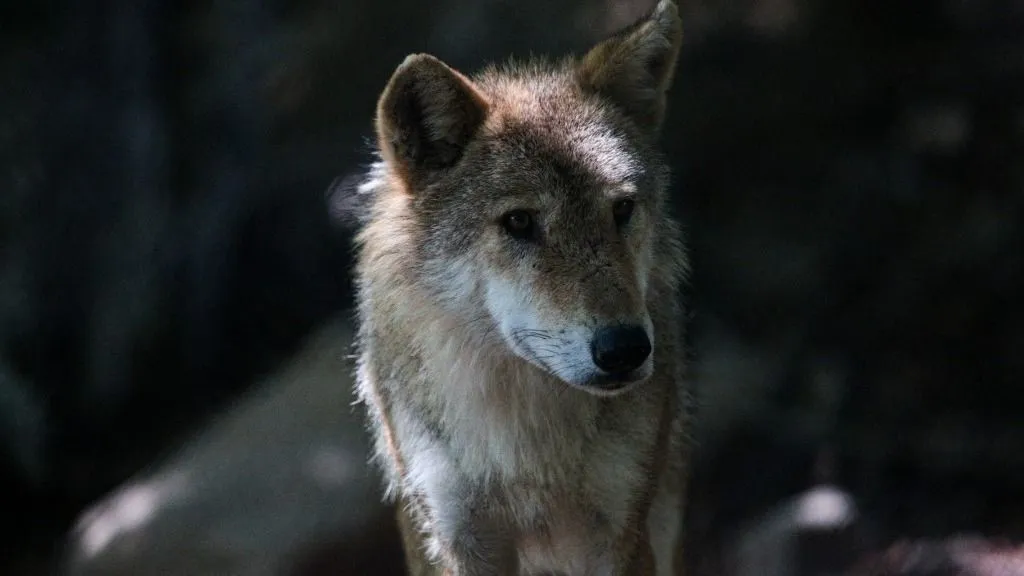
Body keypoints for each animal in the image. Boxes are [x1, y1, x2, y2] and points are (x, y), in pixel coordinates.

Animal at [347, 1, 690, 574]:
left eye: (621, 210)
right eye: (519, 222)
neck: (526, 450)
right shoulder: (457, 538)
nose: (624, 349)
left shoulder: (619, 533)